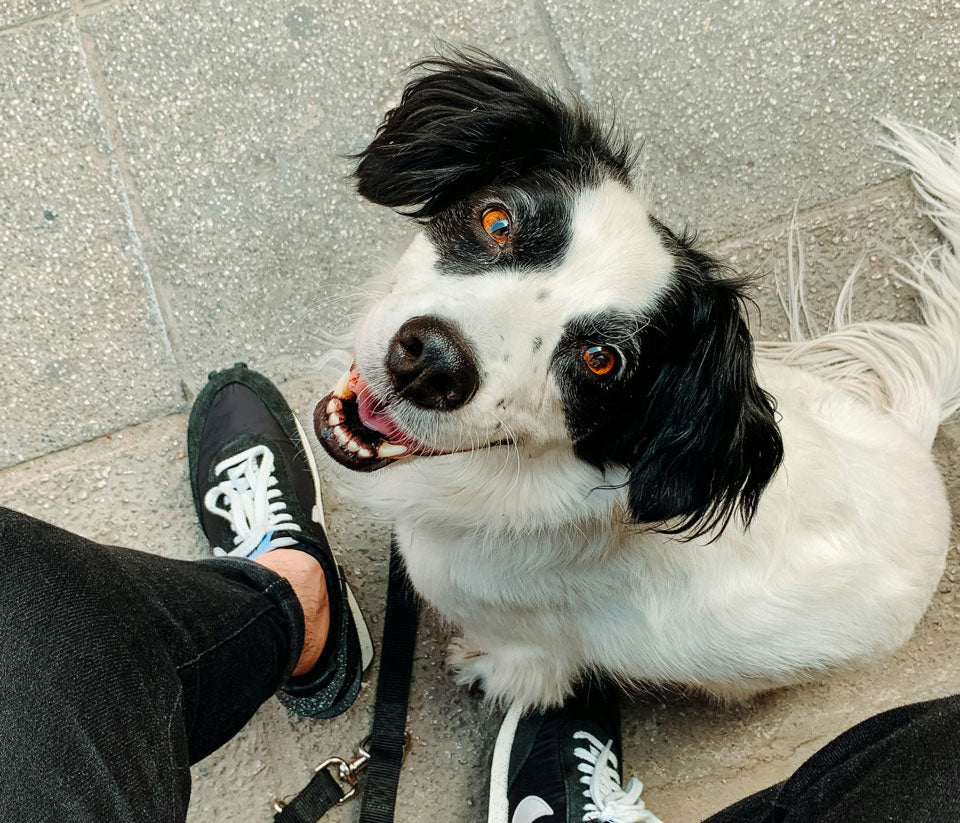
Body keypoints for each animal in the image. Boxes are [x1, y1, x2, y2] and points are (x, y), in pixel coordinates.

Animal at [316, 51, 960, 708]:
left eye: (602, 360)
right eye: (497, 221)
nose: (431, 364)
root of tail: (917, 442)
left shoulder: (523, 644)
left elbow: (514, 665)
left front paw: (477, 667)